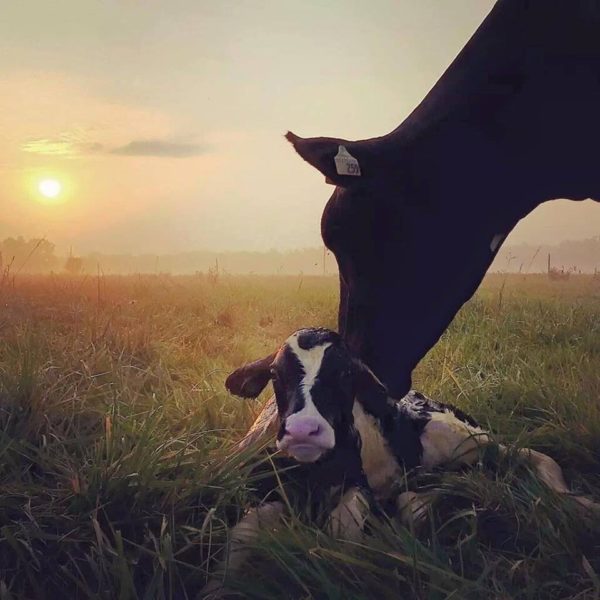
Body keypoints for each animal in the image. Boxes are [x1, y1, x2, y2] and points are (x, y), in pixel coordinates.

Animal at [205, 328, 596, 596]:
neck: (312, 477)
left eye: (347, 374)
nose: (304, 430)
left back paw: (578, 502)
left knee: (528, 456)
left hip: (456, 437)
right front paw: (217, 587)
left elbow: (342, 533)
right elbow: (241, 534)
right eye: (275, 374)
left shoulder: (358, 486)